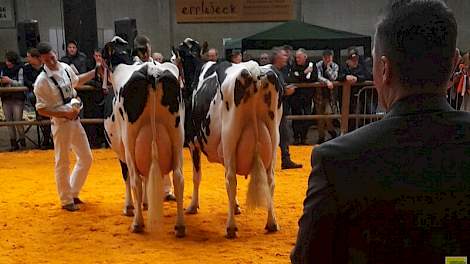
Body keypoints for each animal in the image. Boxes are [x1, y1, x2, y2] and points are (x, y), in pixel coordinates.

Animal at [103, 37, 185, 237]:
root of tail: (152, 72)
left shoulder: (121, 151)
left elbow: (127, 177)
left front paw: (129, 207)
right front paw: (147, 203)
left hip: (130, 139)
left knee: (135, 180)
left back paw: (137, 223)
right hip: (177, 136)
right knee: (178, 177)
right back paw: (179, 226)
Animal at [175, 42, 282, 237]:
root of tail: (254, 70)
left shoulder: (193, 142)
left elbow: (196, 176)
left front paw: (193, 206)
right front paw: (237, 206)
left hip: (230, 136)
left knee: (231, 179)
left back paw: (231, 227)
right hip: (273, 137)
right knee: (270, 180)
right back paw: (272, 223)